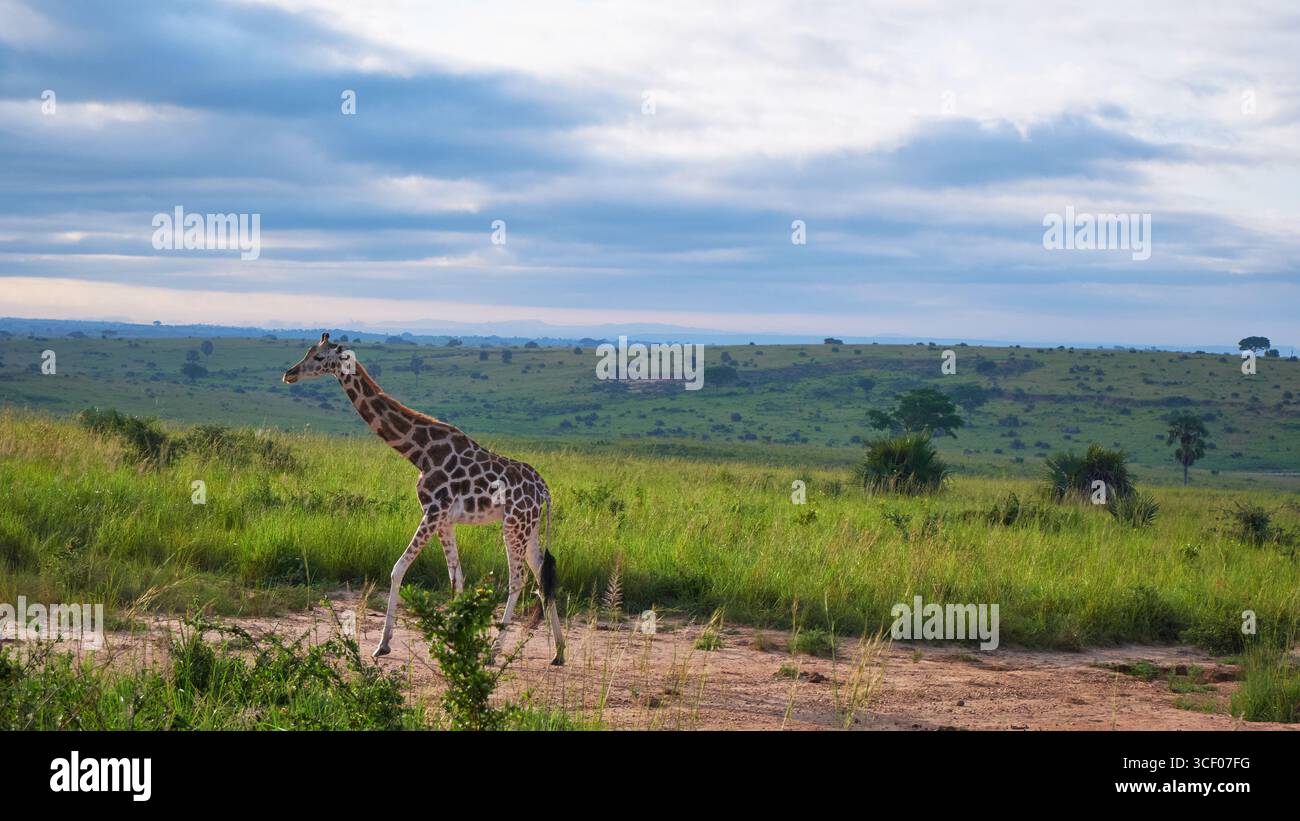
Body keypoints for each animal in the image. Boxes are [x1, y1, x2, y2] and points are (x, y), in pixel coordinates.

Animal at [282, 333, 565, 665]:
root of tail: (544, 489)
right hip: (529, 526)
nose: (289, 373)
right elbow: (457, 577)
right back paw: (559, 652)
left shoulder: (433, 511)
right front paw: (455, 640)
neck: (420, 452)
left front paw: (383, 644)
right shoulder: (445, 519)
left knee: (517, 579)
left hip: (513, 524)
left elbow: (398, 569)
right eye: (307, 351)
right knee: (540, 572)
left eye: (317, 357)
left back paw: (494, 652)